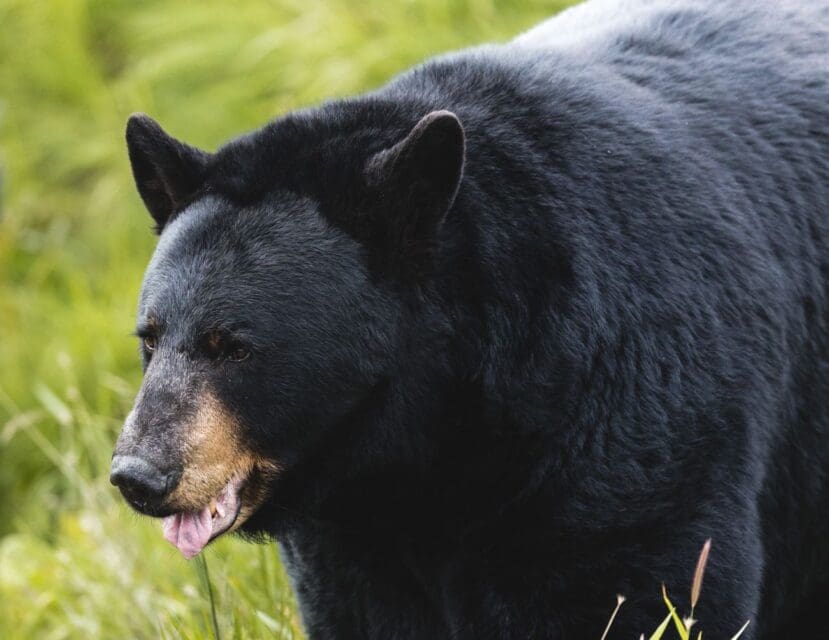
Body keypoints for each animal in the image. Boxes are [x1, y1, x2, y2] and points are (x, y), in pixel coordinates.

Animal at [110, 0, 829, 637]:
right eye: (150, 338)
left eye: (232, 345)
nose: (138, 475)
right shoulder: (351, 537)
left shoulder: (636, 418)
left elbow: (644, 592)